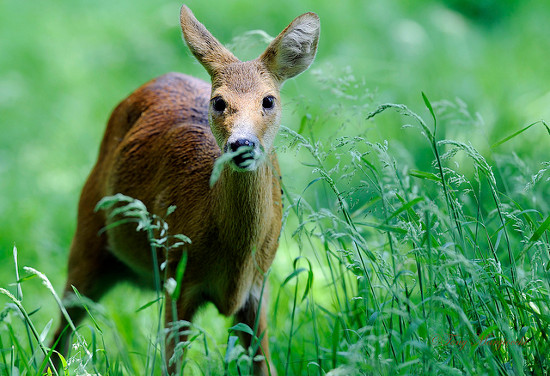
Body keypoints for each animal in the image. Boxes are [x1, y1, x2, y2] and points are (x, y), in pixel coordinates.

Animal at [50, 3, 322, 376]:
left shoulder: (260, 286)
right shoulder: (179, 278)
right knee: (62, 324)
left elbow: (263, 364)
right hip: (87, 233)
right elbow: (171, 363)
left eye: (269, 100)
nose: (242, 145)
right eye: (218, 102)